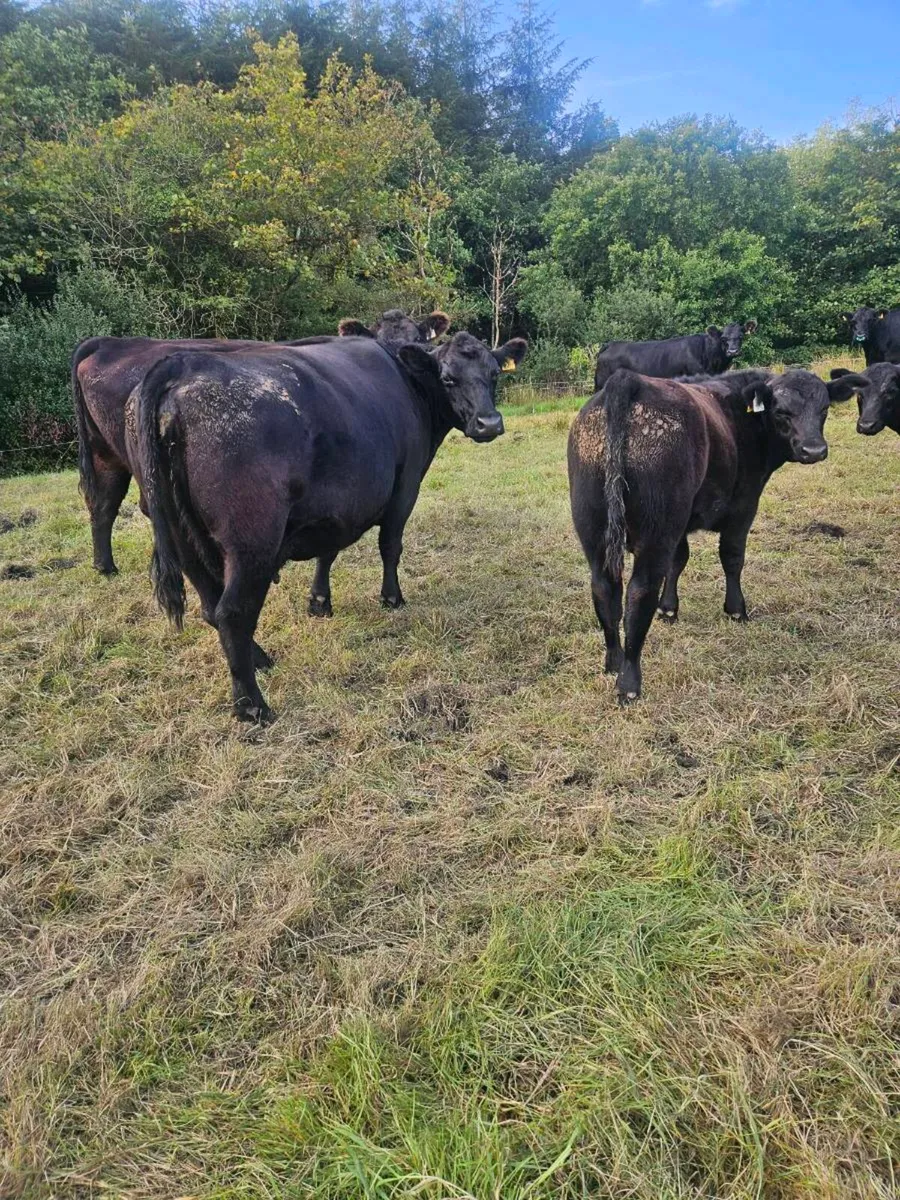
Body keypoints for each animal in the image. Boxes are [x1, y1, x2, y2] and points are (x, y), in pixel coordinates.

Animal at [72, 312, 445, 575]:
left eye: (418, 339)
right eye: (379, 340)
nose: (402, 373)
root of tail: (110, 343)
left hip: (106, 452)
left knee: (103, 503)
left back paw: (105, 566)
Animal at [133, 331, 527, 722]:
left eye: (494, 374)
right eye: (448, 379)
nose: (490, 423)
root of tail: (183, 364)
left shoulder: (336, 509)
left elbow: (328, 553)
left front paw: (320, 602)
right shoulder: (405, 487)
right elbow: (390, 547)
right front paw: (392, 598)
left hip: (183, 539)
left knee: (211, 608)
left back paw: (259, 659)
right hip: (251, 543)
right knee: (232, 614)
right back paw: (252, 705)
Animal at [568, 365, 869, 704]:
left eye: (824, 408)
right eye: (781, 411)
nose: (813, 450)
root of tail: (629, 380)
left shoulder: (682, 524)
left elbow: (679, 561)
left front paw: (669, 609)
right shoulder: (743, 507)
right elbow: (732, 558)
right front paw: (736, 610)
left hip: (595, 530)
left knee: (604, 589)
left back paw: (613, 662)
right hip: (656, 532)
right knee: (639, 592)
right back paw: (629, 682)